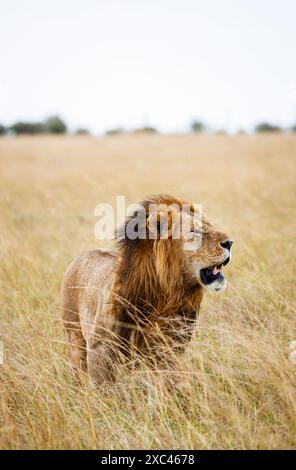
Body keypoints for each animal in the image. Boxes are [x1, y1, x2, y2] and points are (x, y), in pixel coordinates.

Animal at [60, 194, 234, 386]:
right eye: (195, 231)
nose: (230, 243)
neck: (166, 299)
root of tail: (81, 256)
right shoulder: (100, 352)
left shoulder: (168, 352)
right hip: (74, 337)